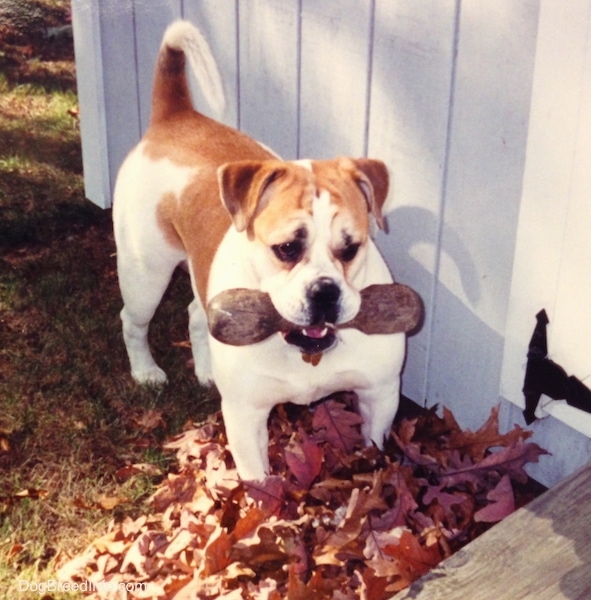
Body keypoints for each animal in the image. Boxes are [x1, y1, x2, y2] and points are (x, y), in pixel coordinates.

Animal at [112, 19, 404, 478]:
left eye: (351, 247)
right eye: (285, 248)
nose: (324, 292)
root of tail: (176, 116)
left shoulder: (381, 397)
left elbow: (372, 449)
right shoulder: (246, 417)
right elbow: (258, 485)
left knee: (196, 313)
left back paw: (206, 369)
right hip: (145, 273)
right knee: (133, 320)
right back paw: (145, 370)